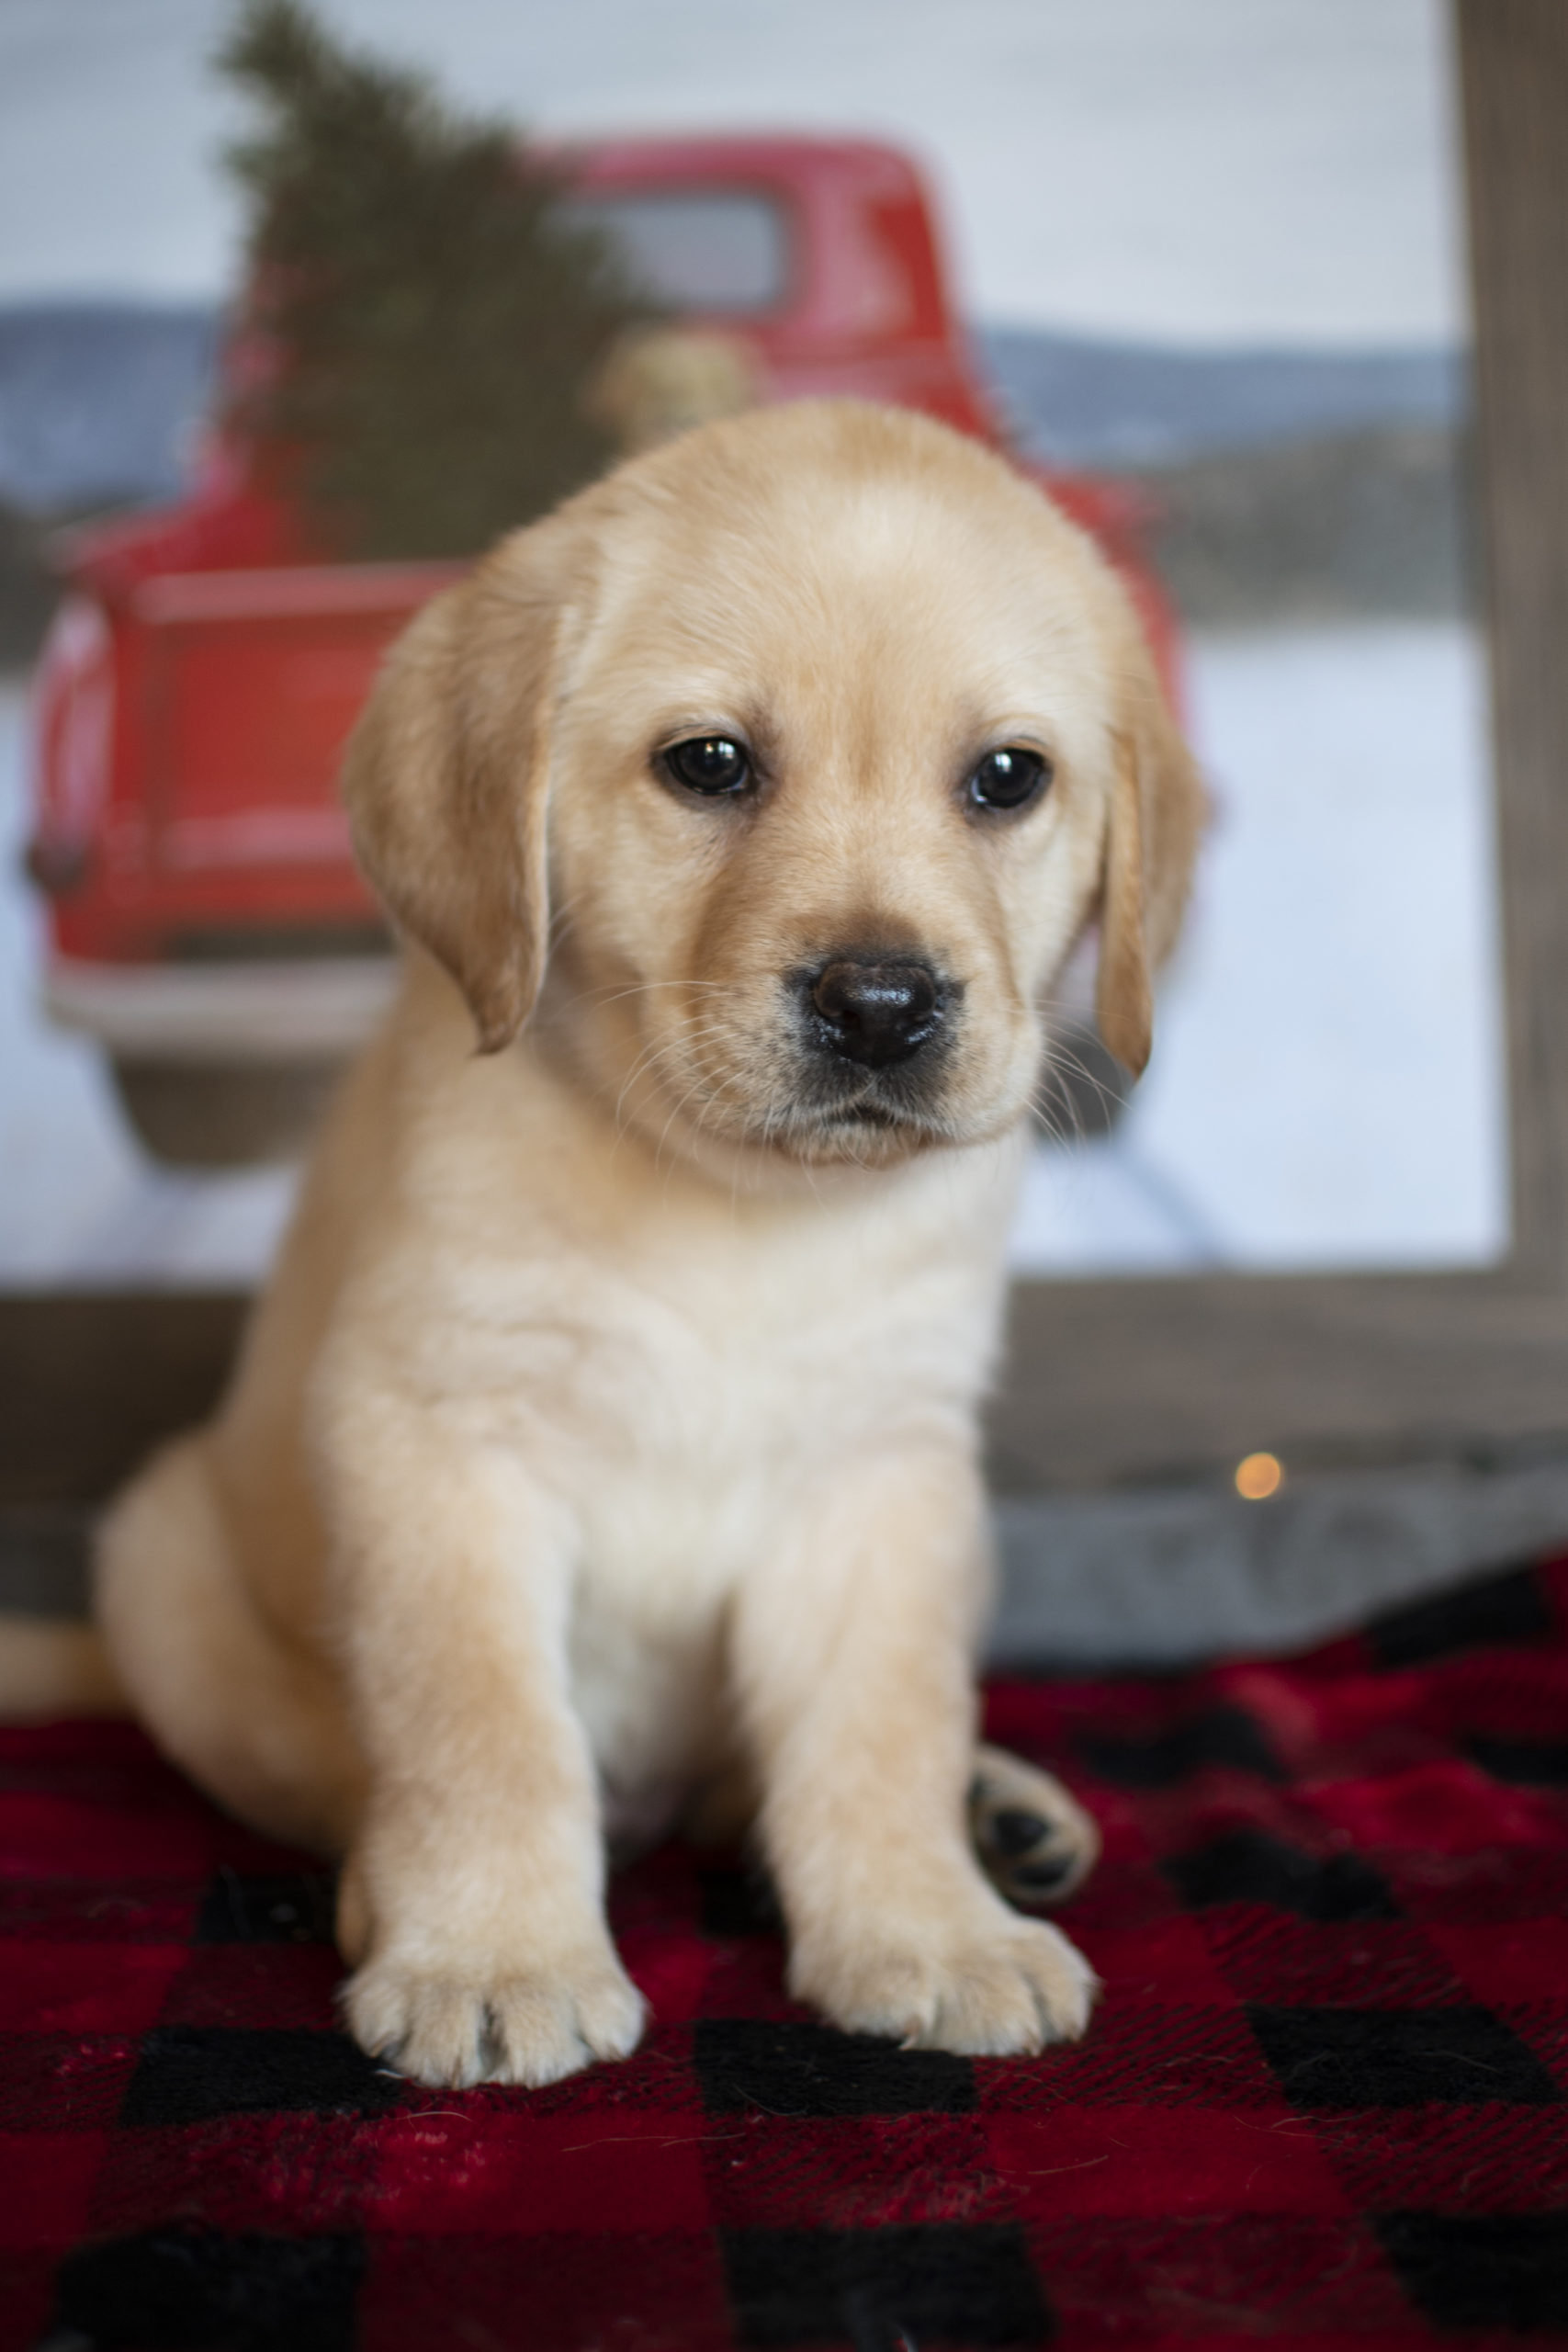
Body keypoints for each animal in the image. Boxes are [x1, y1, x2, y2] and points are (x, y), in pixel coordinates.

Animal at [97, 395, 1203, 2088]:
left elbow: (878, 1729)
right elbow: (482, 1729)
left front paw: (922, 1928)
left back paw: (994, 1818)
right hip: (165, 1572)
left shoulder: (879, 1475)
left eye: (1007, 779)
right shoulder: (442, 1444)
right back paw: (383, 1892)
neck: (733, 1204)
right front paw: (489, 1952)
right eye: (710, 766)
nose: (881, 1004)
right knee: (350, 1771)